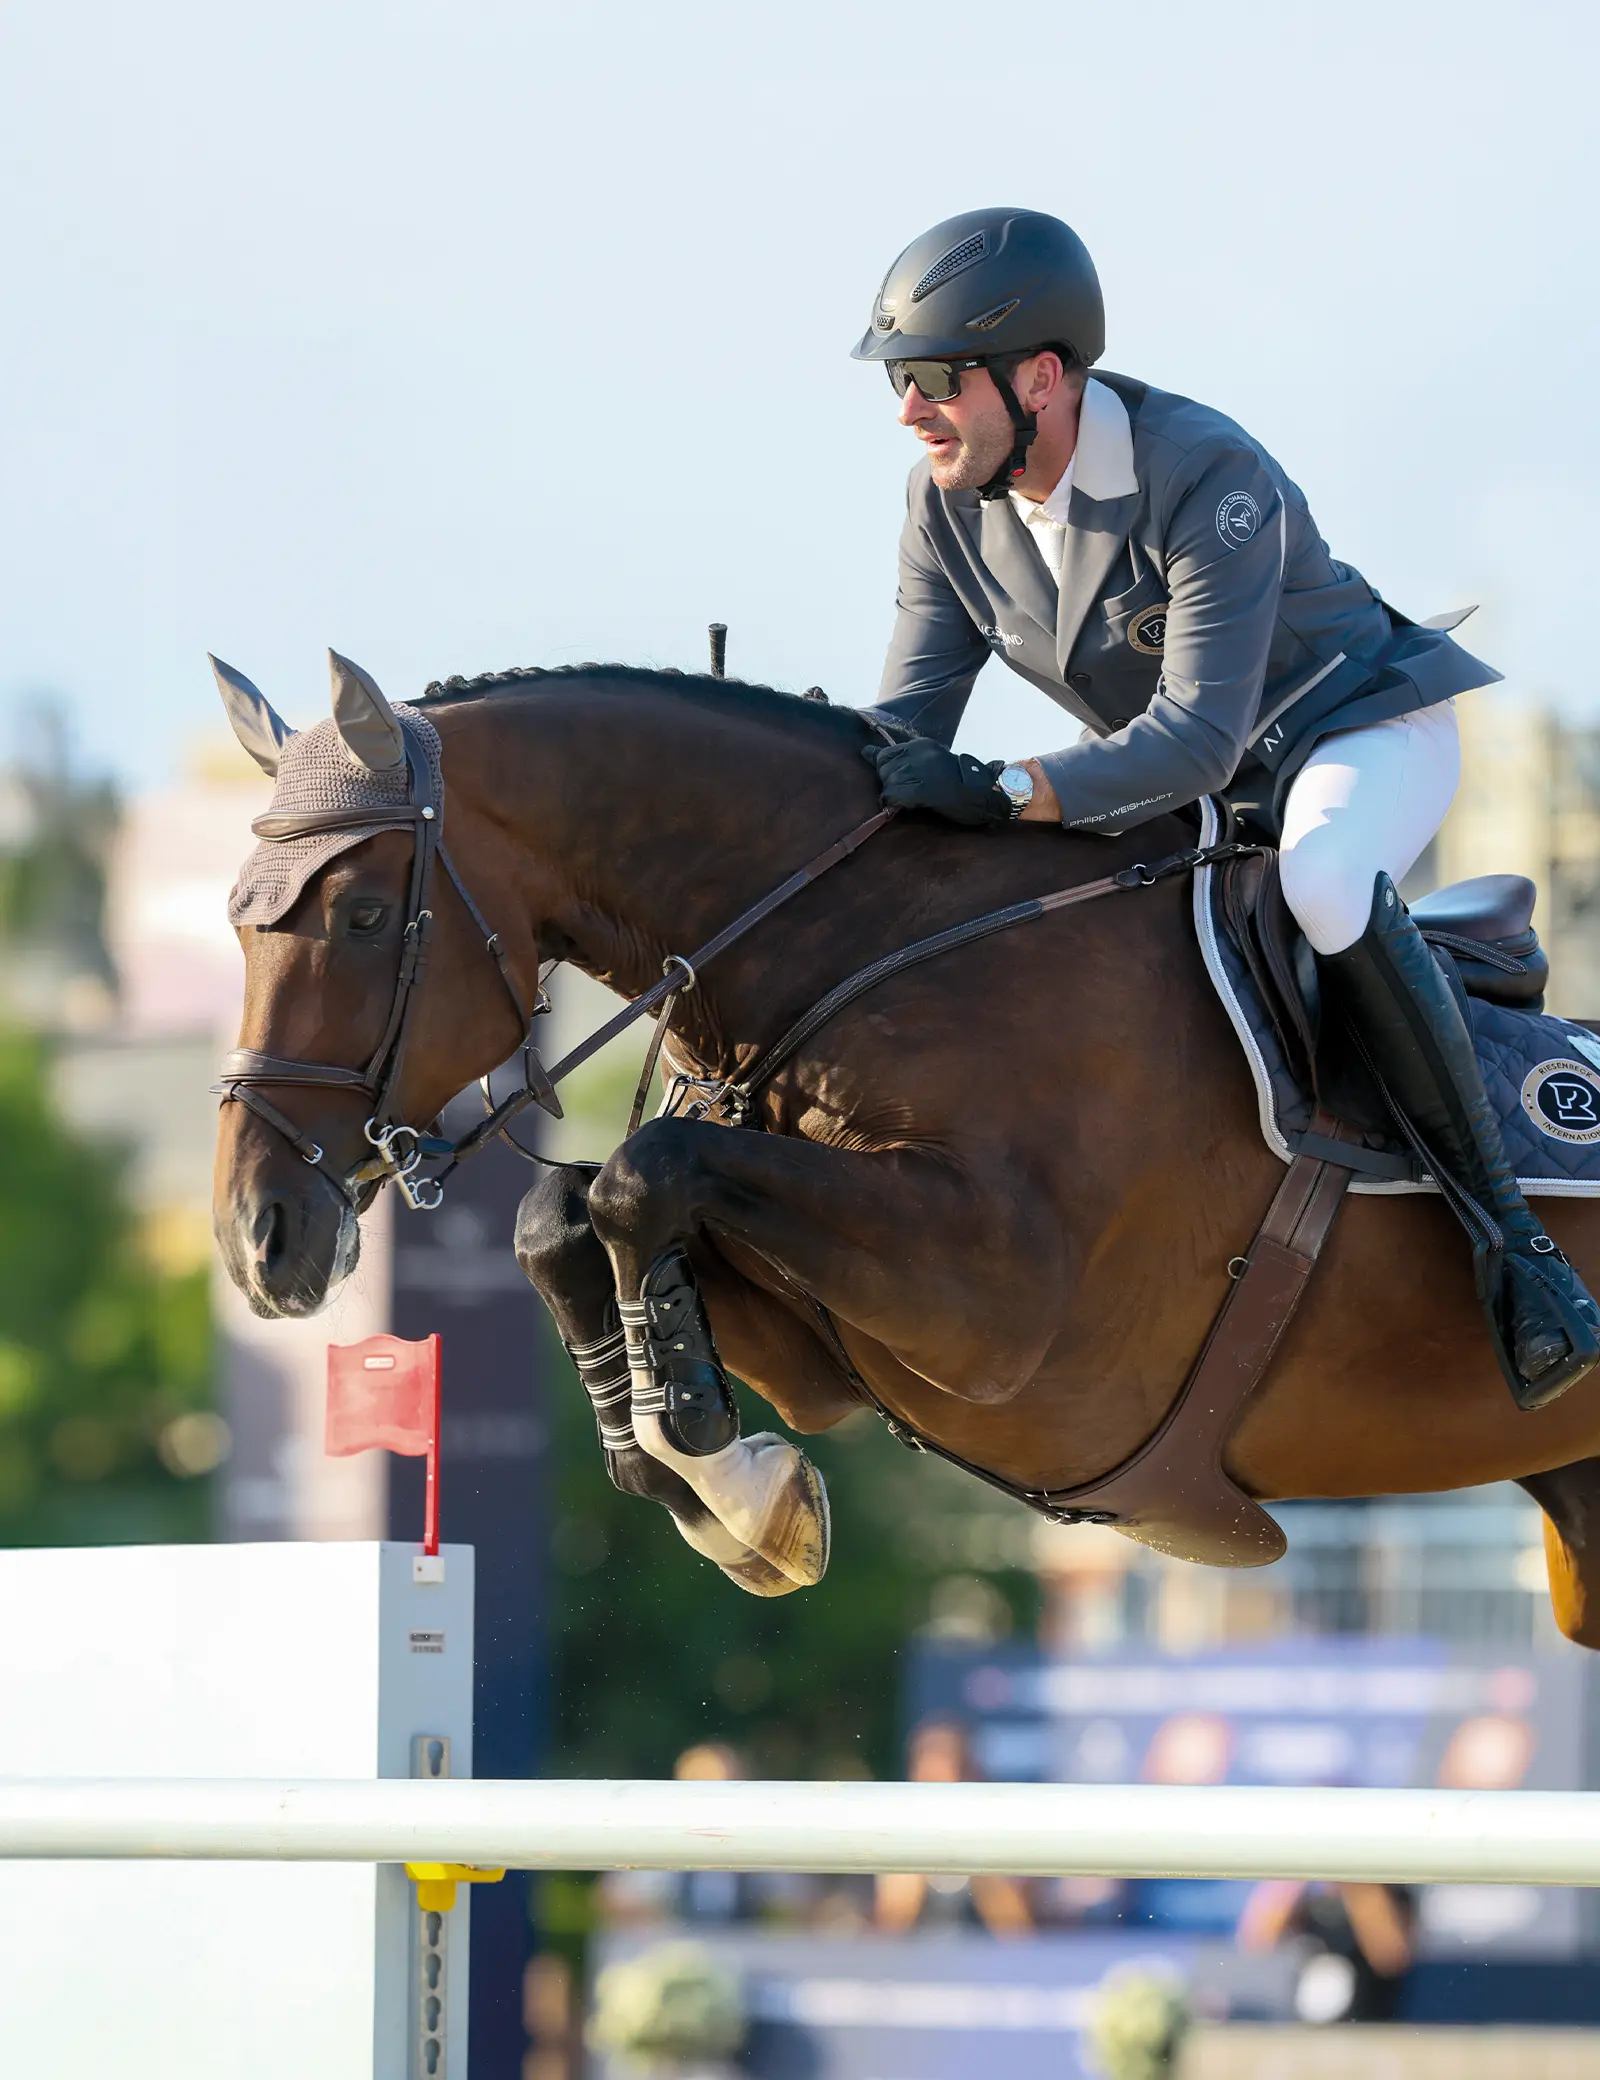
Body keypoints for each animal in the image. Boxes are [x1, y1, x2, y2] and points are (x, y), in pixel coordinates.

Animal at [210, 652, 1600, 1643]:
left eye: (363, 913)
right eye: (236, 921)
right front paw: (726, 1489)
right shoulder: (826, 1336)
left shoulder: (998, 1315)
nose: (255, 1240)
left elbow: (640, 1178)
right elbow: (570, 1214)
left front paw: (709, 1458)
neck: (865, 940)